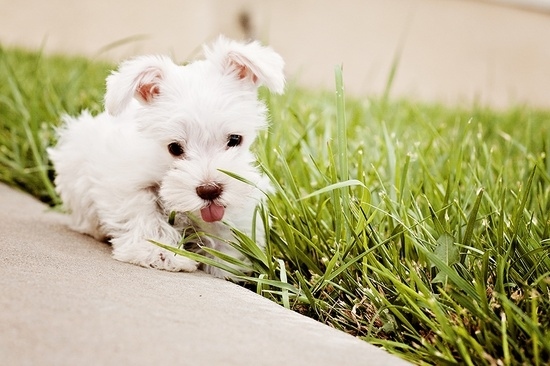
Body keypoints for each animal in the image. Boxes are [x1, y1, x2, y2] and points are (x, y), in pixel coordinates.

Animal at [49, 36, 286, 278]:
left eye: (235, 139)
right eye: (174, 148)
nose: (209, 190)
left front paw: (225, 260)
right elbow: (143, 212)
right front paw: (160, 253)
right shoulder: (123, 180)